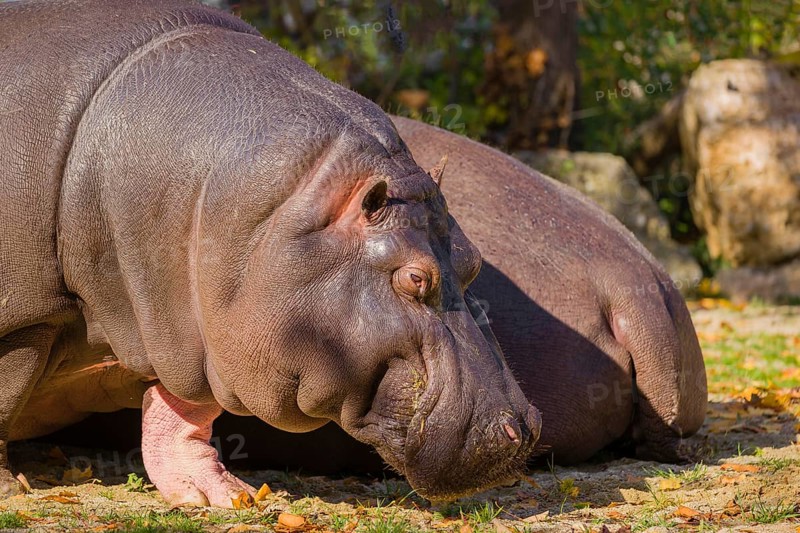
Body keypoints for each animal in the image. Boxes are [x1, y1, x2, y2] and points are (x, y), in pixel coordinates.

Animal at [0, 0, 541, 506]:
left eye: (473, 260)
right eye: (414, 278)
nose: (522, 428)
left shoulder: (199, 321)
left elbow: (187, 406)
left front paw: (218, 495)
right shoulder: (27, 320)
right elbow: (7, 395)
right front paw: (9, 490)